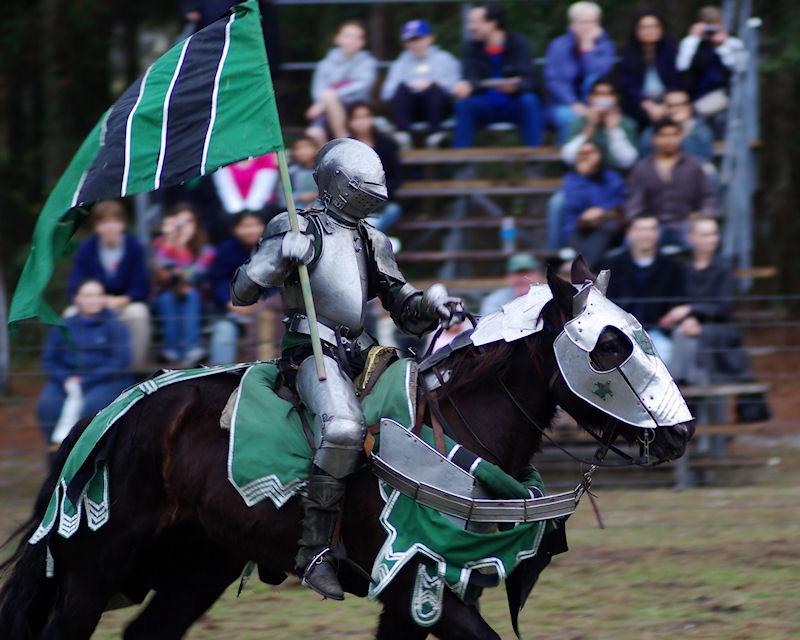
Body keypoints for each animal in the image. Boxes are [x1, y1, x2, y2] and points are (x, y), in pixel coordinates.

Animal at [0, 262, 692, 640]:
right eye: (609, 347)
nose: (681, 433)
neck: (457, 431)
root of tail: (110, 414)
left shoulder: (419, 598)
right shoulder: (420, 586)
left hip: (199, 566)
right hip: (94, 571)